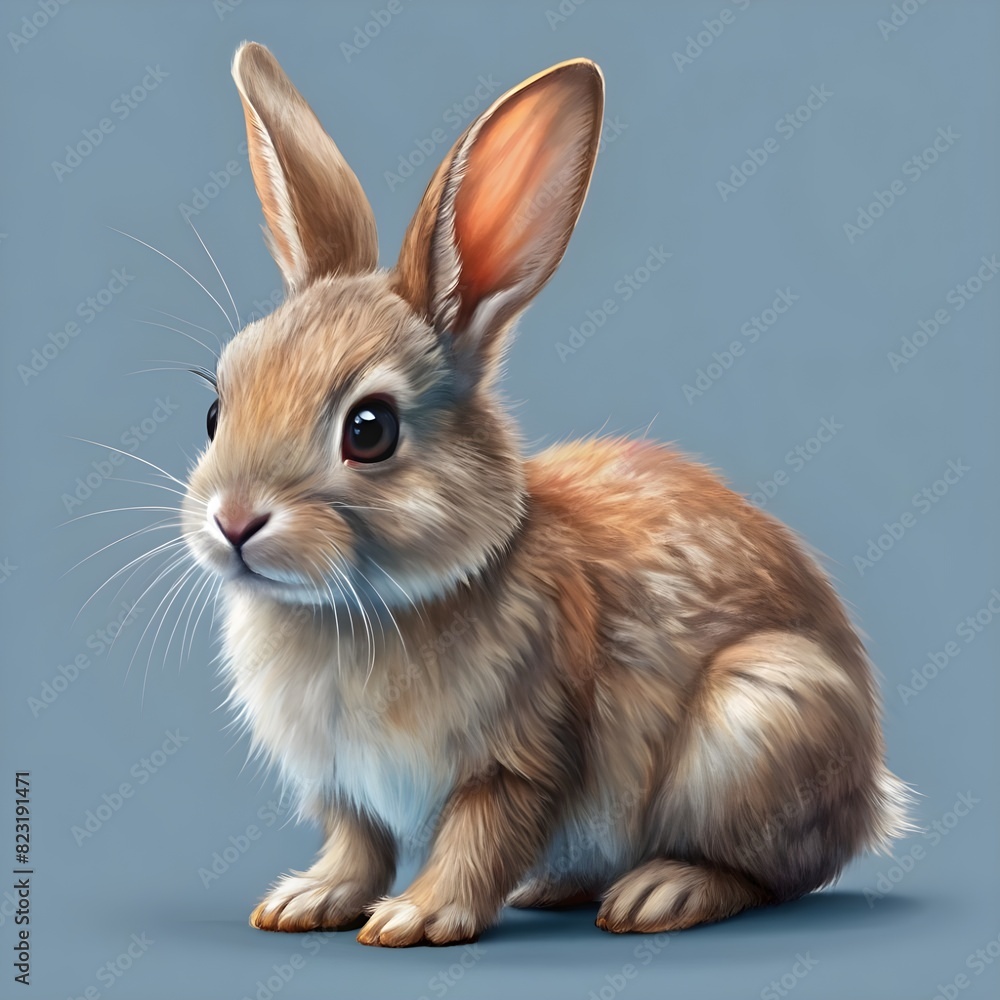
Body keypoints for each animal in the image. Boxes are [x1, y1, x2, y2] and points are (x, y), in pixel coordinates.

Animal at [178, 41, 911, 947]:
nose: (233, 521)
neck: (373, 603)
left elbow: (480, 837)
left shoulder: (523, 755)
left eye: (370, 429)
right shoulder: (343, 787)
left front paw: (415, 918)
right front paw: (307, 901)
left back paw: (660, 892)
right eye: (217, 409)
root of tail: (873, 799)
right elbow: (358, 844)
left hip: (759, 715)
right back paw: (557, 887)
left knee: (770, 874)